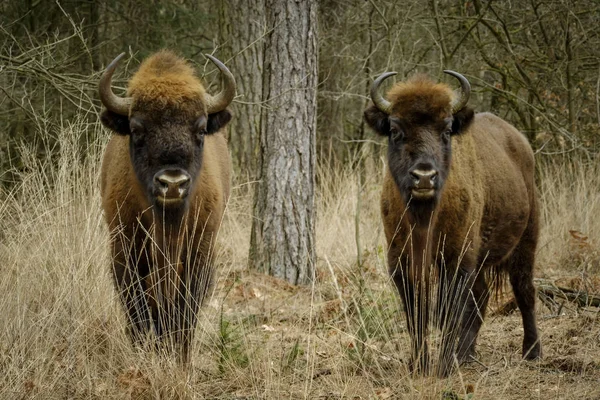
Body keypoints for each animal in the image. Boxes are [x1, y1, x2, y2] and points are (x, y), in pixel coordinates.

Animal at [98, 49, 234, 360]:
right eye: (137, 129)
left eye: (200, 129)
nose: (172, 183)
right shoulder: (125, 249)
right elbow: (138, 311)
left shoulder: (200, 252)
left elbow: (184, 313)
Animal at [364, 71, 540, 376]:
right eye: (395, 130)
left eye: (446, 131)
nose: (424, 176)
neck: (424, 218)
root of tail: (521, 143)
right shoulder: (403, 263)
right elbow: (417, 316)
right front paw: (420, 365)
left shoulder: (456, 261)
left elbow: (448, 314)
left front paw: (442, 368)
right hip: (480, 260)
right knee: (482, 298)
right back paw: (466, 354)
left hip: (525, 241)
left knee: (524, 290)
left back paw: (532, 351)